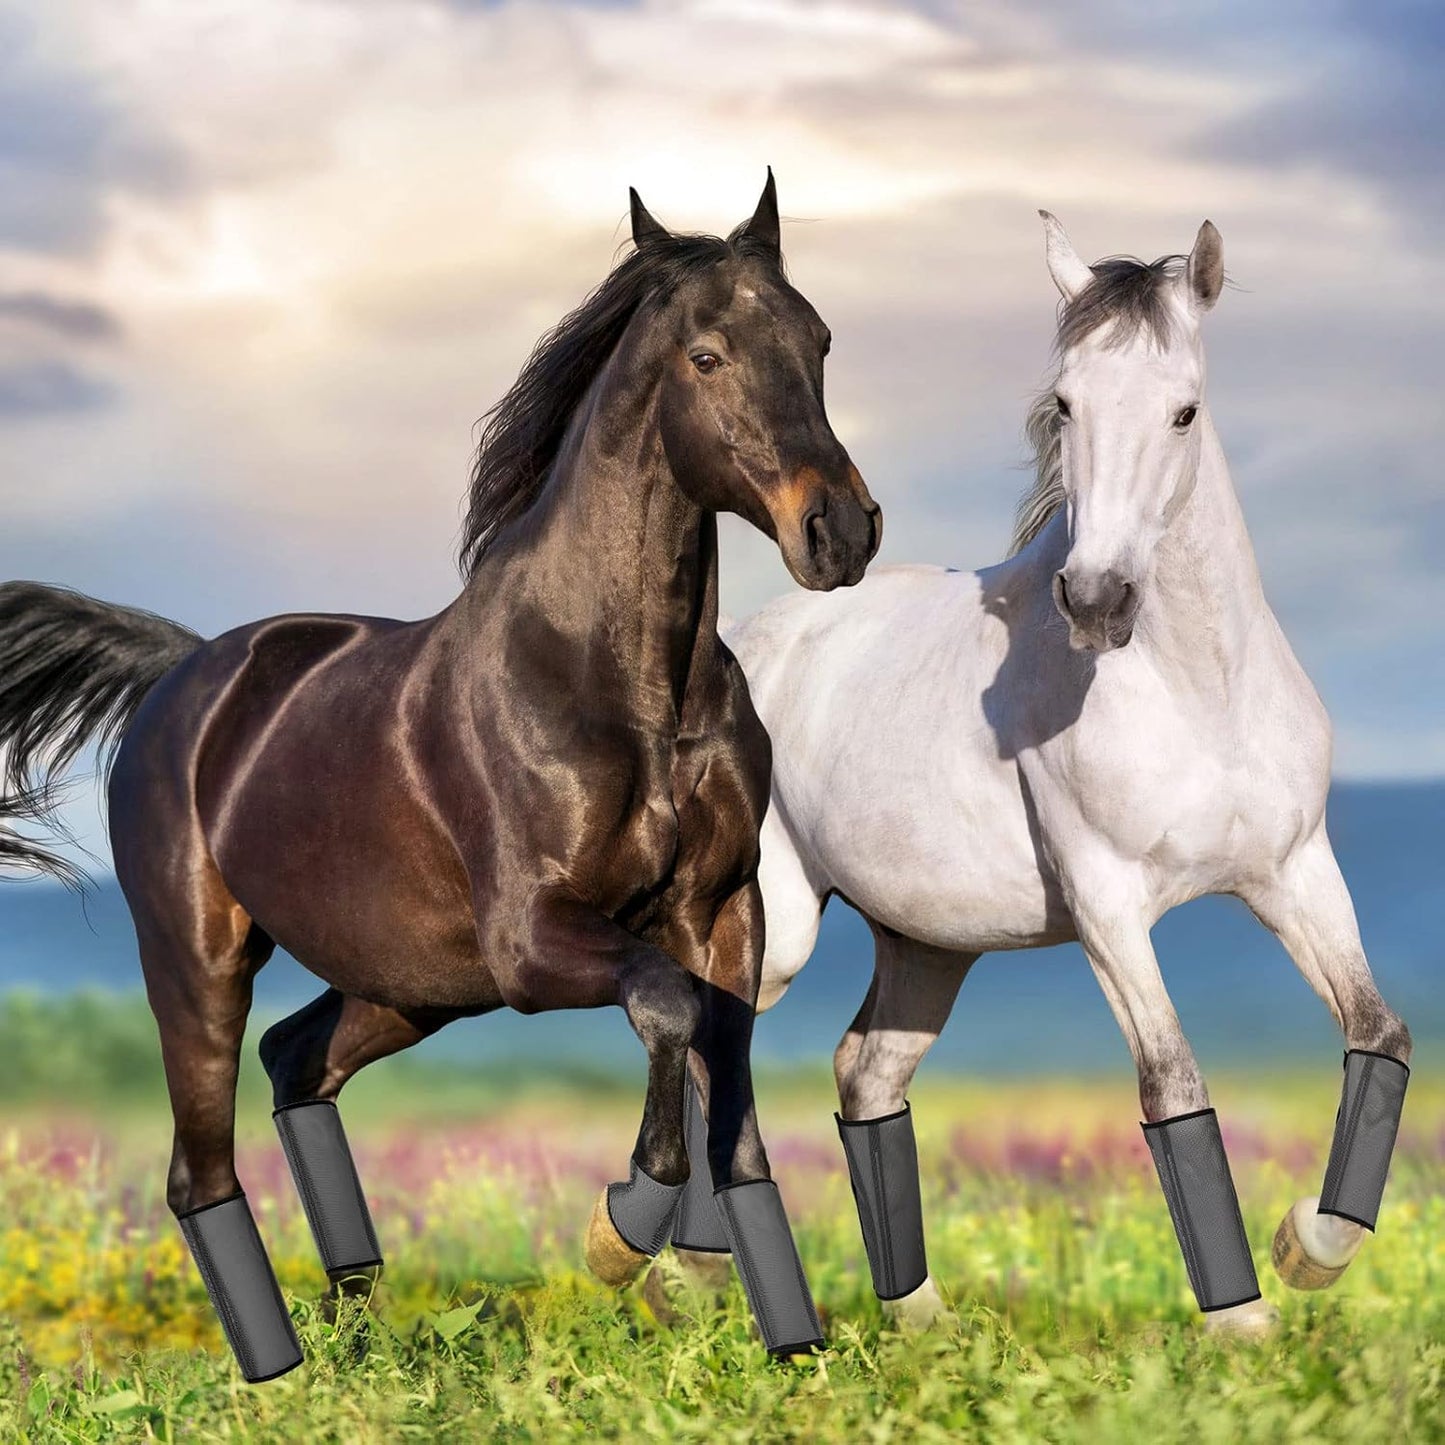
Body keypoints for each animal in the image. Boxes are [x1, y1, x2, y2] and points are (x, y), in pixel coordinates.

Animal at [0, 173, 881, 1380]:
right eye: (706, 355)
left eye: (819, 339)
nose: (840, 530)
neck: (623, 686)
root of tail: (183, 673)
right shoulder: (533, 938)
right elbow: (664, 1010)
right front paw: (621, 1232)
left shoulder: (719, 912)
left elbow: (729, 1084)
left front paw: (781, 1334)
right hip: (201, 960)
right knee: (199, 1168)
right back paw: (280, 1371)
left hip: (410, 984)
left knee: (297, 1060)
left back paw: (359, 1330)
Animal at [728, 213, 1410, 1337]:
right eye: (1065, 404)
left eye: (1183, 409)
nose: (1095, 599)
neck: (1196, 692)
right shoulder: (1107, 906)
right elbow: (1171, 1082)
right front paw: (1242, 1321)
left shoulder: (1293, 872)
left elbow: (1377, 1033)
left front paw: (1306, 1248)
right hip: (773, 930)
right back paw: (671, 1272)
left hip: (927, 945)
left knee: (863, 1073)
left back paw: (919, 1321)